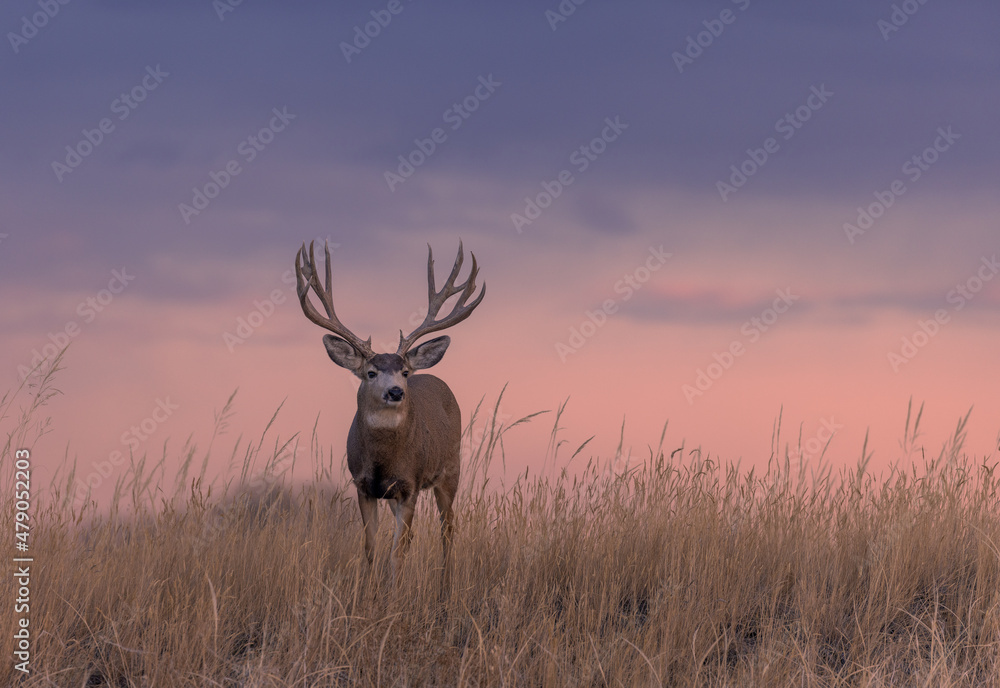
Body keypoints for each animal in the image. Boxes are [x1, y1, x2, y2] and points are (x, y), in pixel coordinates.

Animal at [292, 238, 484, 584]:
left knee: (448, 528)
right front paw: (369, 590)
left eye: (404, 372)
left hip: (451, 468)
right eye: (370, 372)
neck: (384, 459)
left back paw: (445, 588)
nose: (395, 391)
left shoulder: (409, 486)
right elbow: (370, 549)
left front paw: (393, 593)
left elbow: (397, 553)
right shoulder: (363, 486)